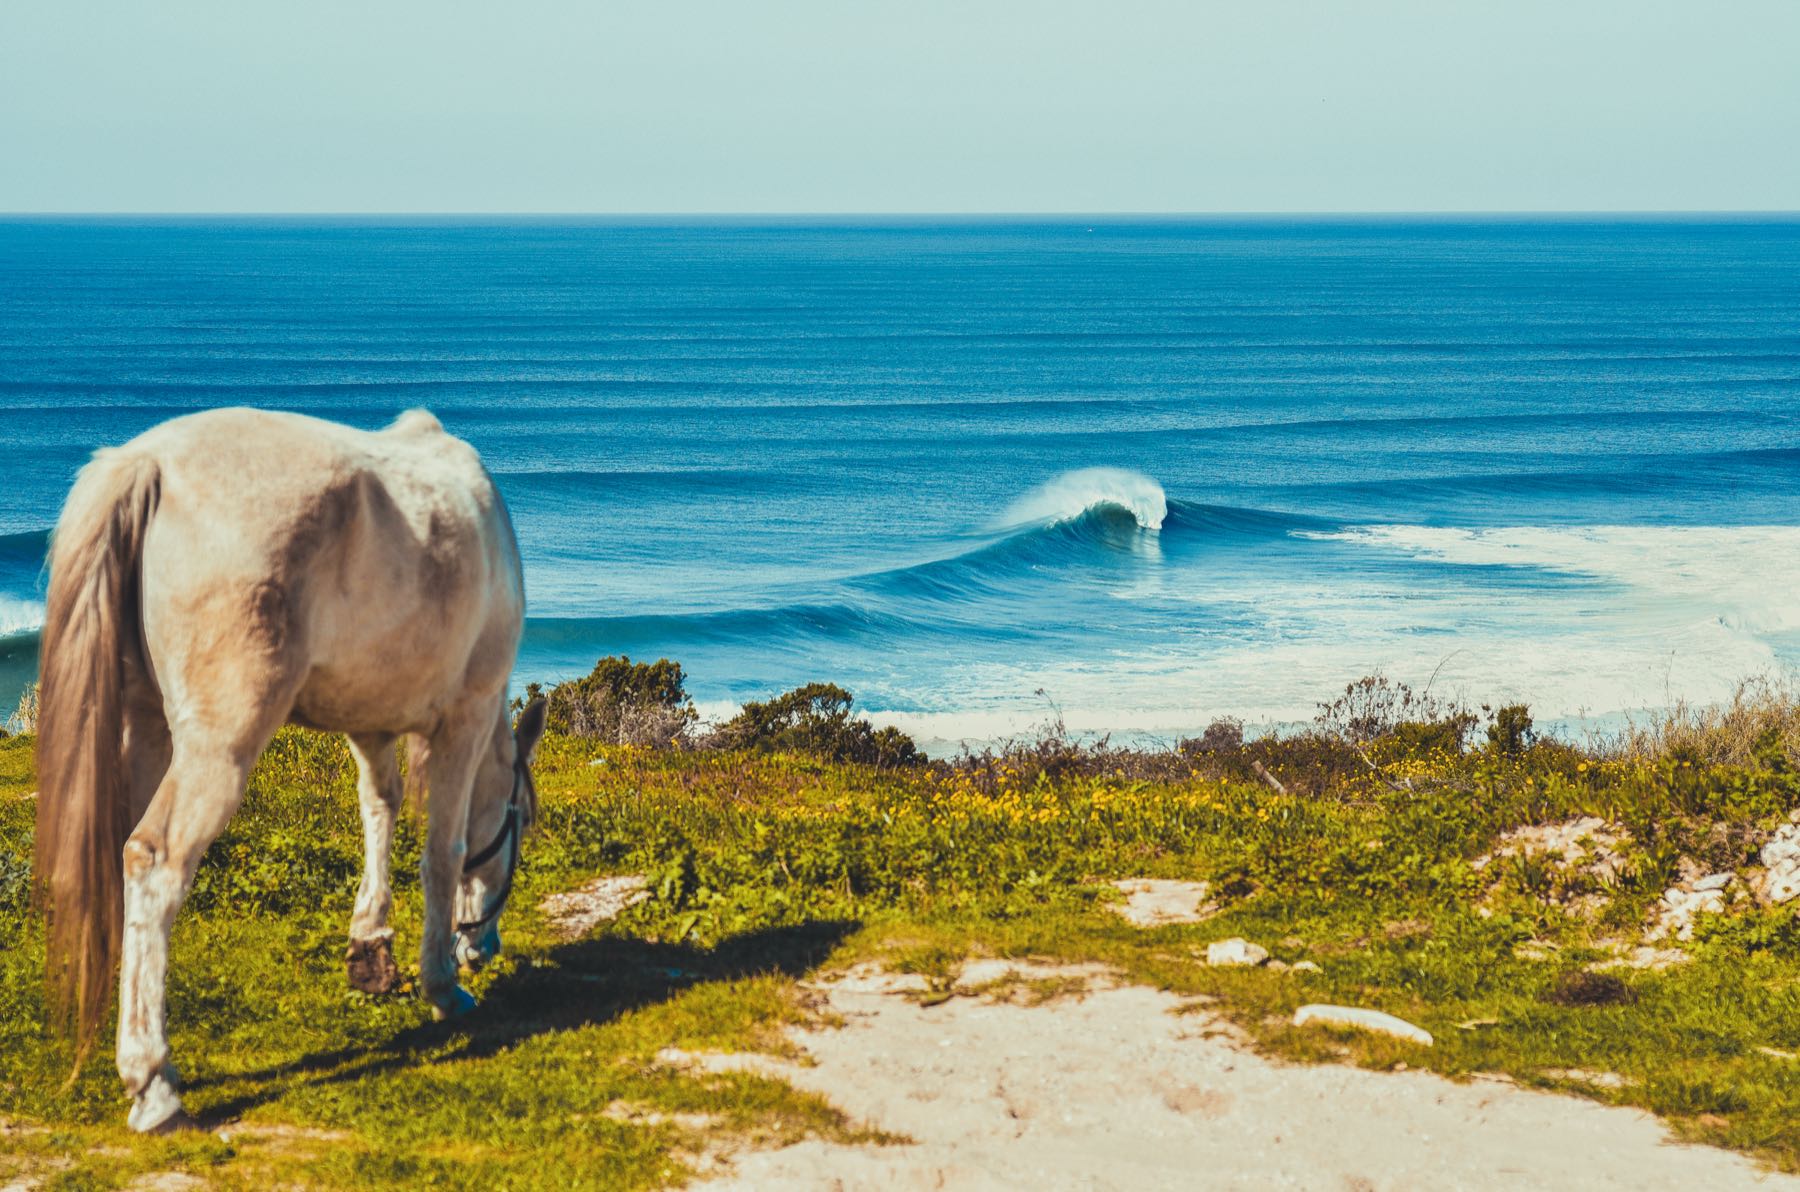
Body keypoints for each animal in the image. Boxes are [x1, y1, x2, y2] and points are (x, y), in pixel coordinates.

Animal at [33, 406, 547, 1133]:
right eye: (522, 819)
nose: (484, 945)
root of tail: (147, 463)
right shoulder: (467, 714)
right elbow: (442, 852)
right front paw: (442, 984)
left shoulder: (370, 723)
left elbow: (380, 807)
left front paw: (370, 944)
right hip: (218, 746)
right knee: (155, 861)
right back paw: (153, 1082)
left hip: (142, 727)